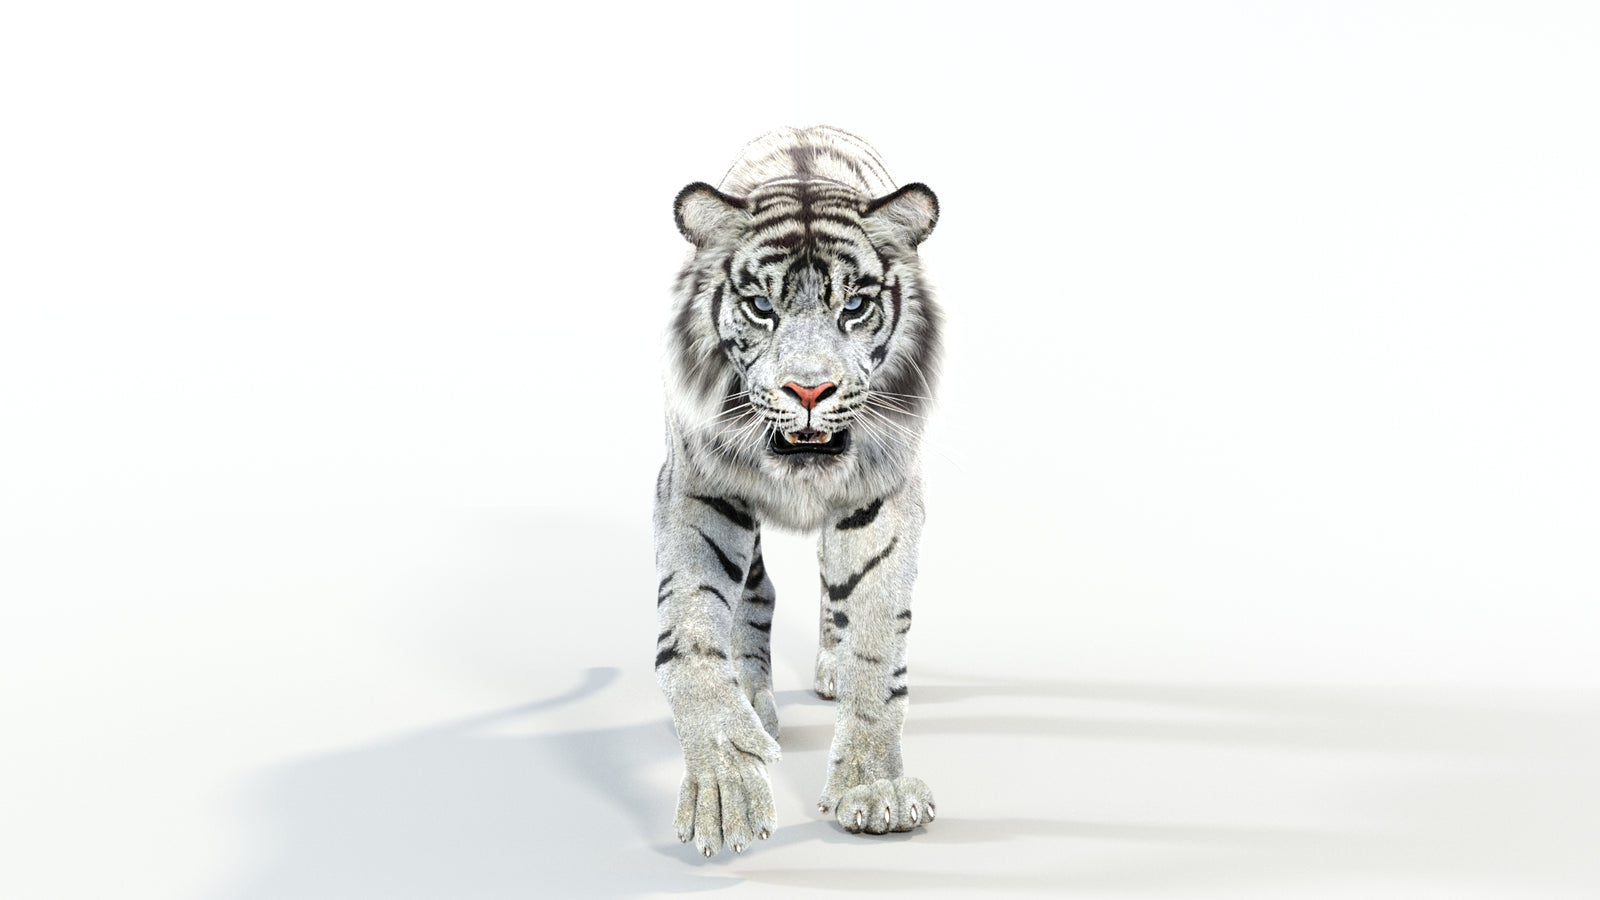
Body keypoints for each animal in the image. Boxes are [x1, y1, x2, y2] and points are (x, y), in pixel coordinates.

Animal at [654, 126, 942, 857]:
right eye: (761, 307)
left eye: (855, 306)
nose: (809, 390)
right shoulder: (697, 489)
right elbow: (693, 631)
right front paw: (724, 784)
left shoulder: (882, 496)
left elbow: (875, 637)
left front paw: (875, 788)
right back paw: (757, 705)